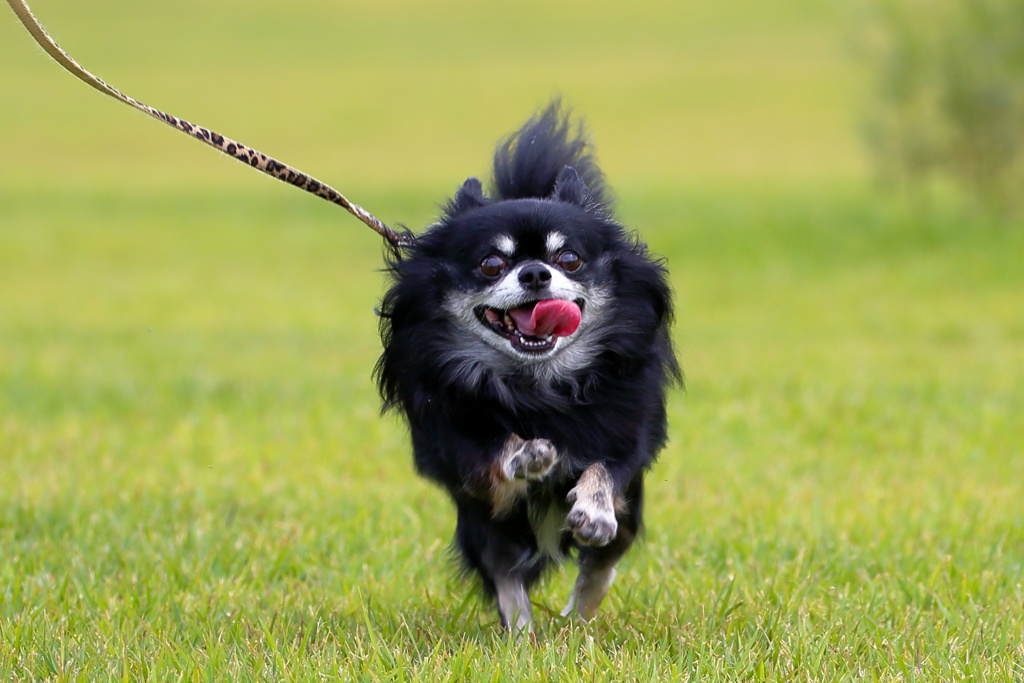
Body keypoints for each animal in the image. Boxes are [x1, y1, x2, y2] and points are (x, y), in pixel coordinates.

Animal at [376, 102, 679, 634]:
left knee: (601, 564)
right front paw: (527, 454)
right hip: (482, 530)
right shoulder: (465, 460)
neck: (537, 384)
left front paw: (592, 509)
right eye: (491, 264)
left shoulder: (623, 437)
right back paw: (522, 636)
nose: (536, 272)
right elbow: (495, 457)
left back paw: (578, 621)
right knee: (506, 580)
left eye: (570, 259)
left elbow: (603, 469)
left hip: (627, 519)